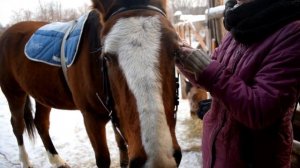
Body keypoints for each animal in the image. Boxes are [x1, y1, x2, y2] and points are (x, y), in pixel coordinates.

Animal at [0, 0, 180, 168]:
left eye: (176, 50)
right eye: (106, 56)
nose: (159, 158)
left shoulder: (118, 113)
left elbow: (122, 146)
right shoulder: (91, 117)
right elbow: (103, 159)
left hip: (43, 93)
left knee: (41, 123)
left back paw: (56, 160)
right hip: (14, 92)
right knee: (17, 125)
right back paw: (25, 161)